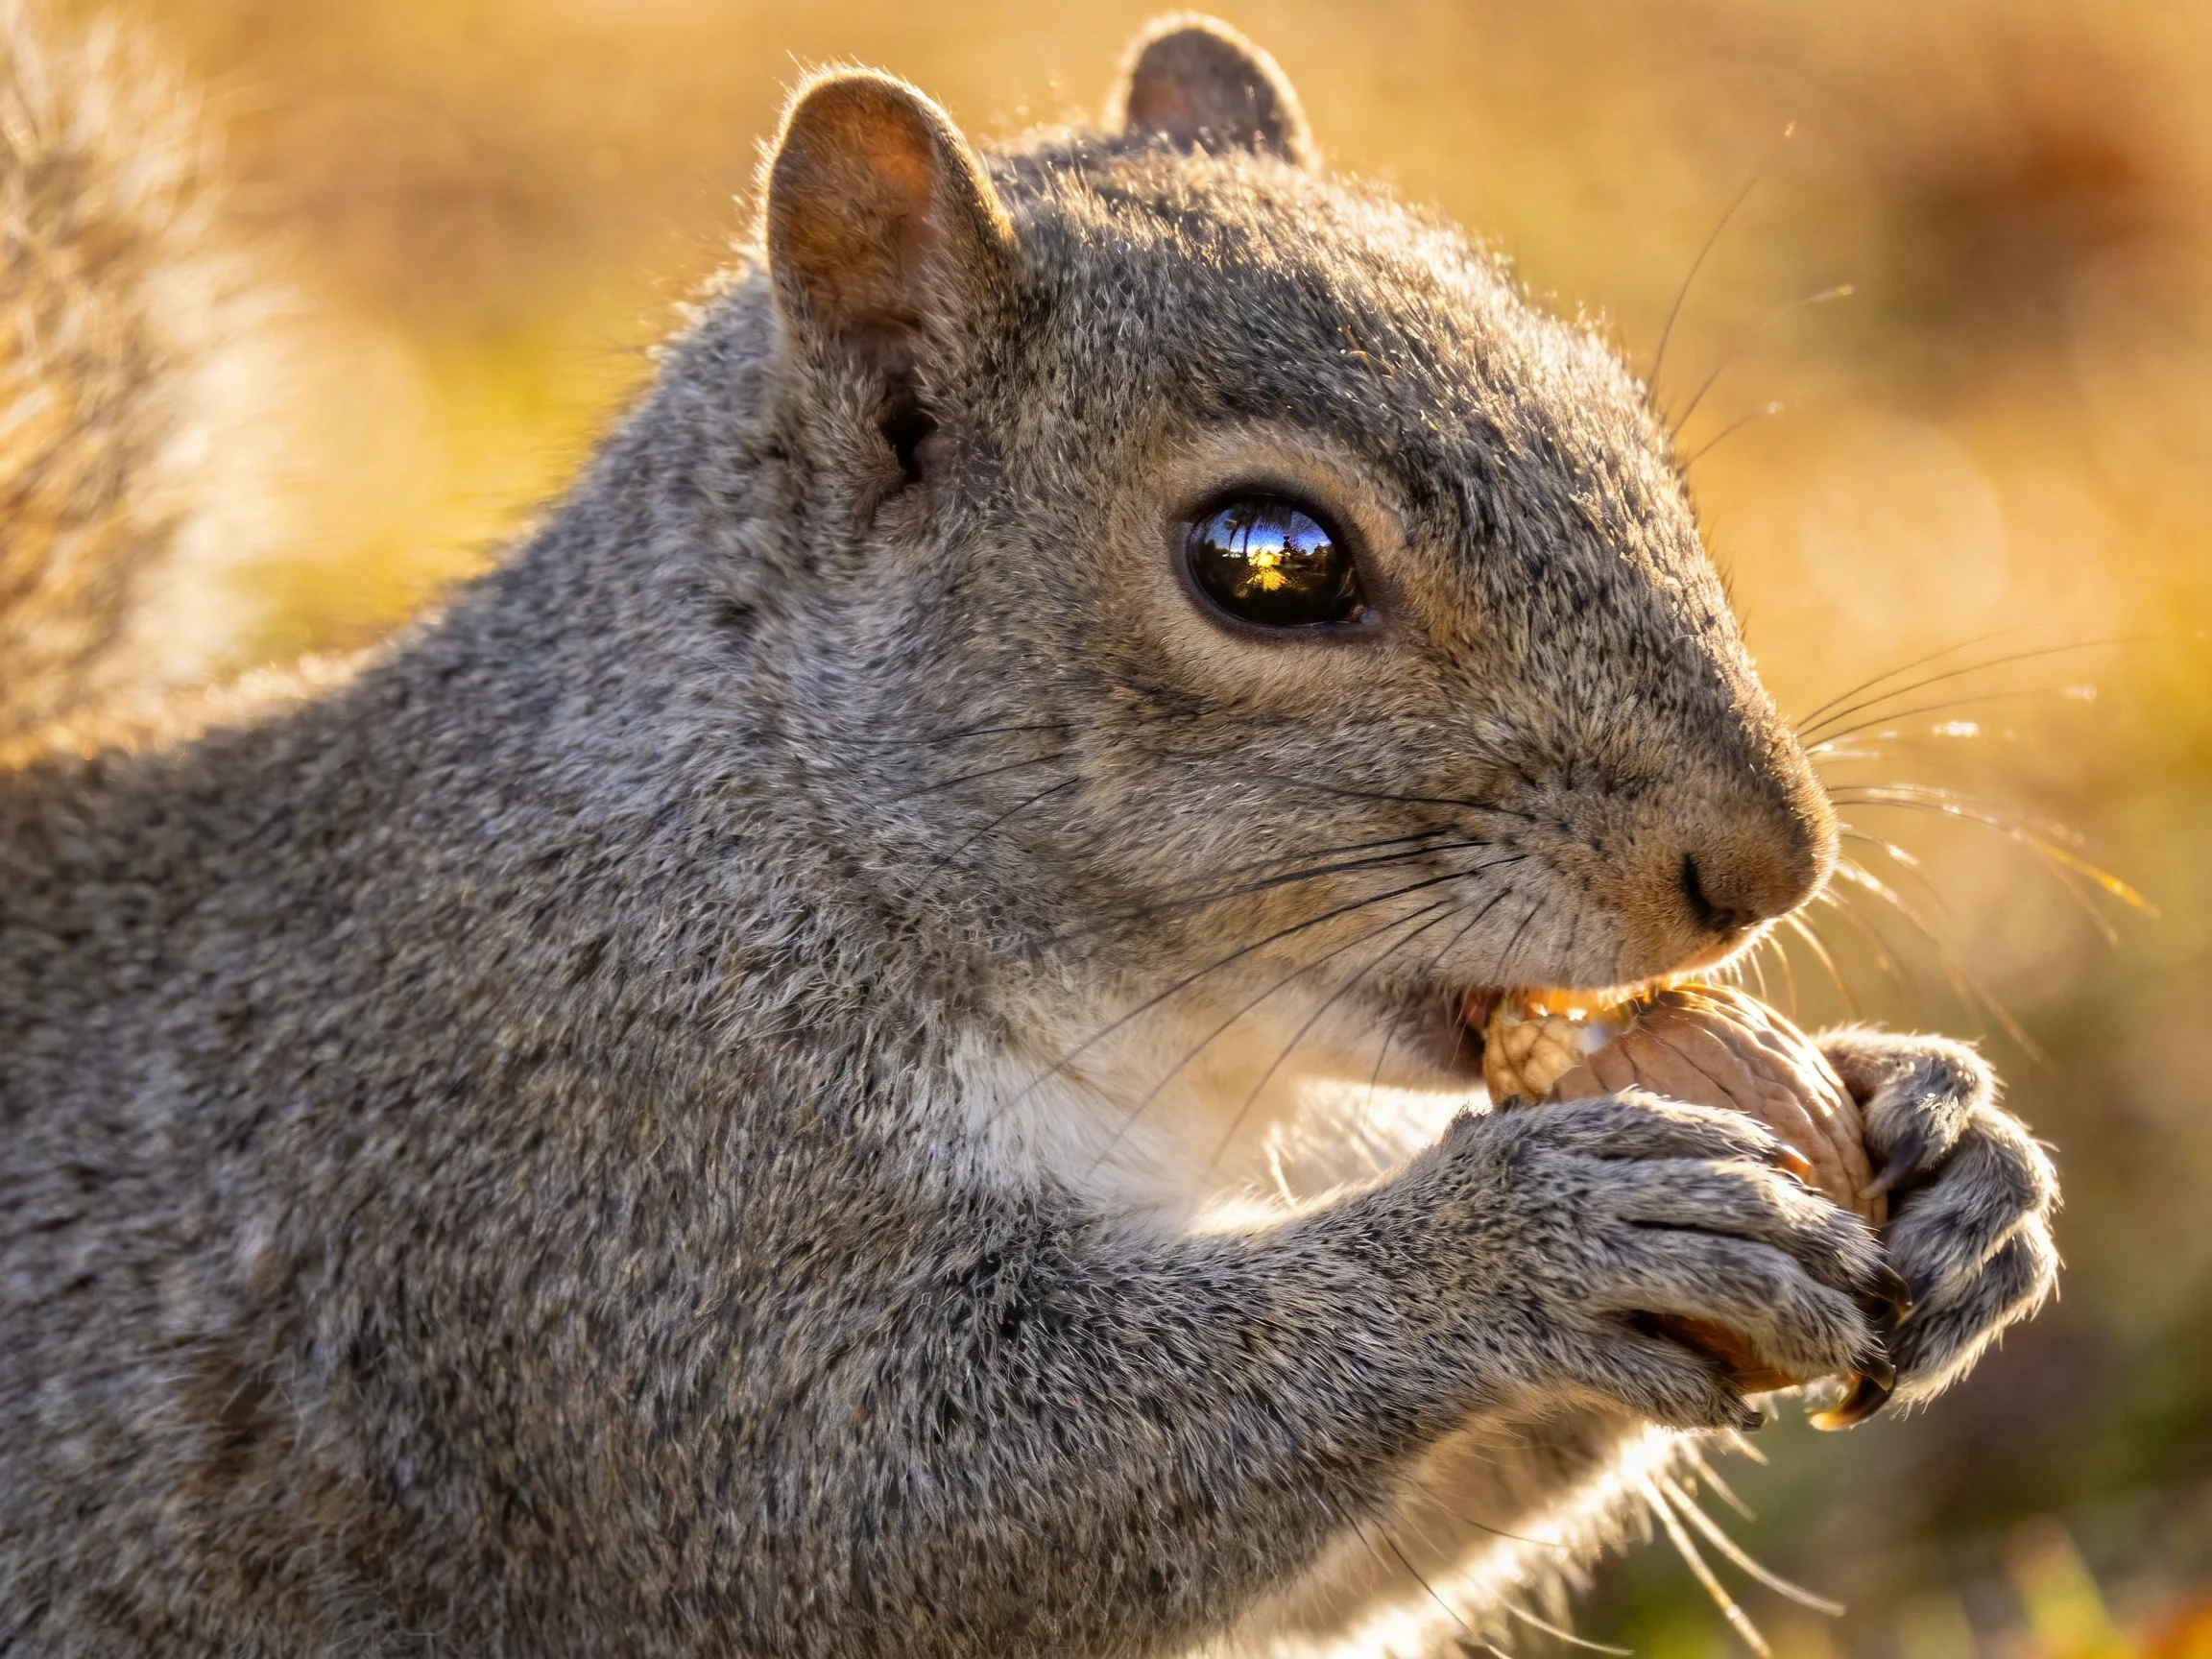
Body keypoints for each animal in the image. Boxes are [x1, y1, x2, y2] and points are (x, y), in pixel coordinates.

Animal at [0, 9, 2060, 1656]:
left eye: (1624, 418)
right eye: (1264, 558)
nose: (1767, 864)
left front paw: (1950, 1151)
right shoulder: (584, 1182)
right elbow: (877, 1503)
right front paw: (1532, 1242)